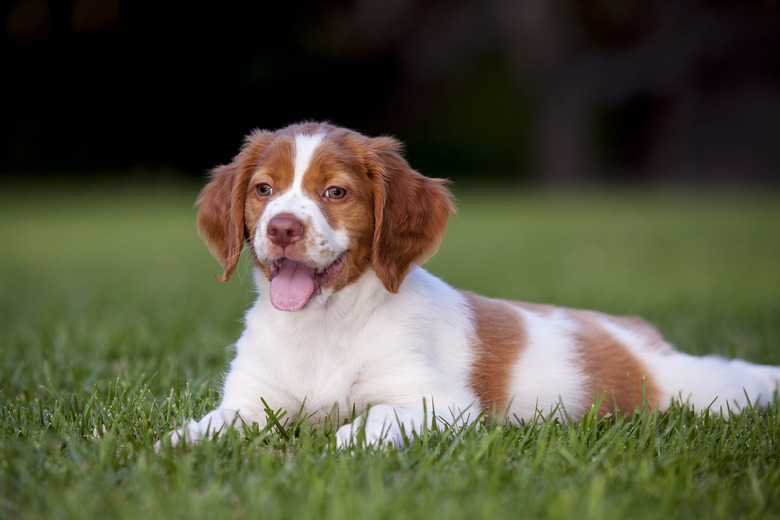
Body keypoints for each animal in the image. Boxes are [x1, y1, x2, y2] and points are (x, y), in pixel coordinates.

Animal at [160, 122, 780, 446]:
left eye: (335, 192)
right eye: (263, 190)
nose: (283, 227)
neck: (325, 326)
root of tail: (636, 331)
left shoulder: (440, 403)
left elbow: (364, 423)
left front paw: (331, 447)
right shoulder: (251, 401)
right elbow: (204, 429)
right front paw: (168, 451)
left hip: (696, 391)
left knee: (733, 379)